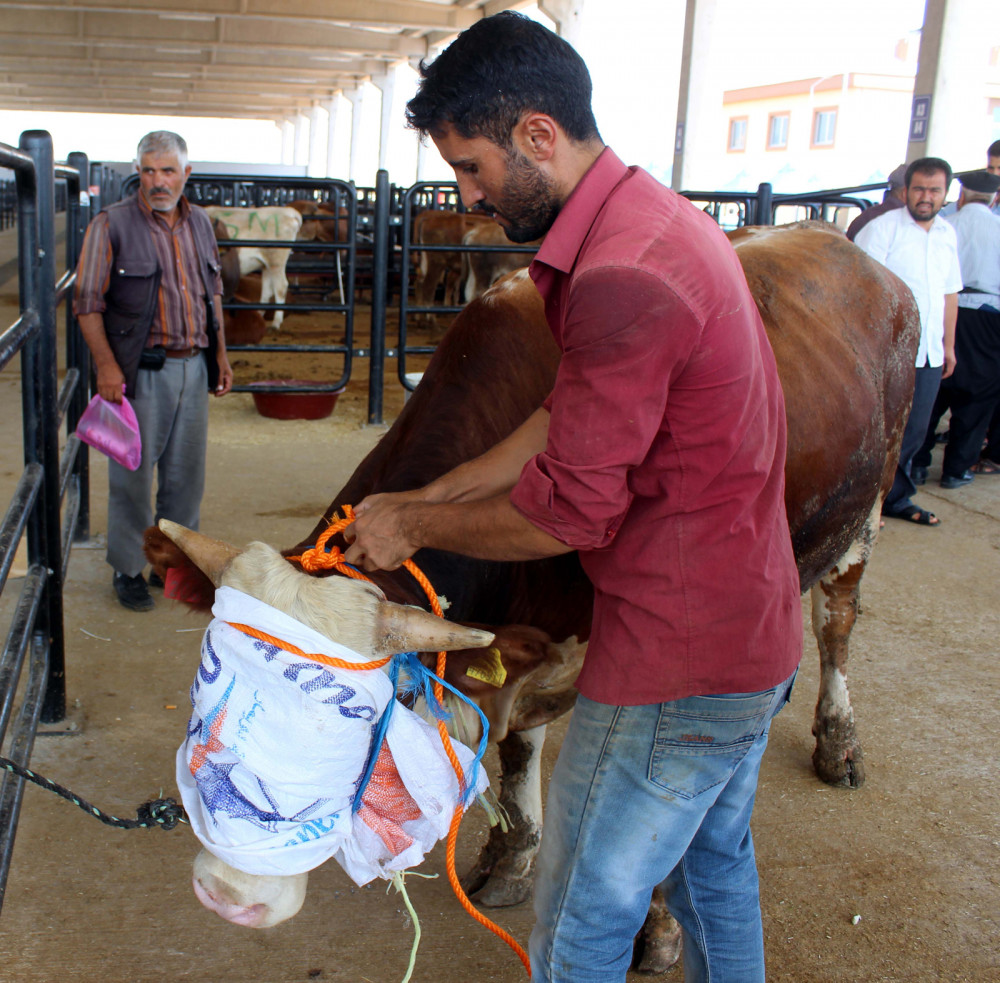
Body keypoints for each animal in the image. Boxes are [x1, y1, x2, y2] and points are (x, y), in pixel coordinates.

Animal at [145, 221, 916, 968]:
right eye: (208, 676)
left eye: (377, 717)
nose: (230, 895)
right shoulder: (524, 639)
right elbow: (518, 744)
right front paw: (513, 854)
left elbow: (656, 811)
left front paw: (658, 924)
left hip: (868, 511)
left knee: (835, 625)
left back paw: (839, 742)